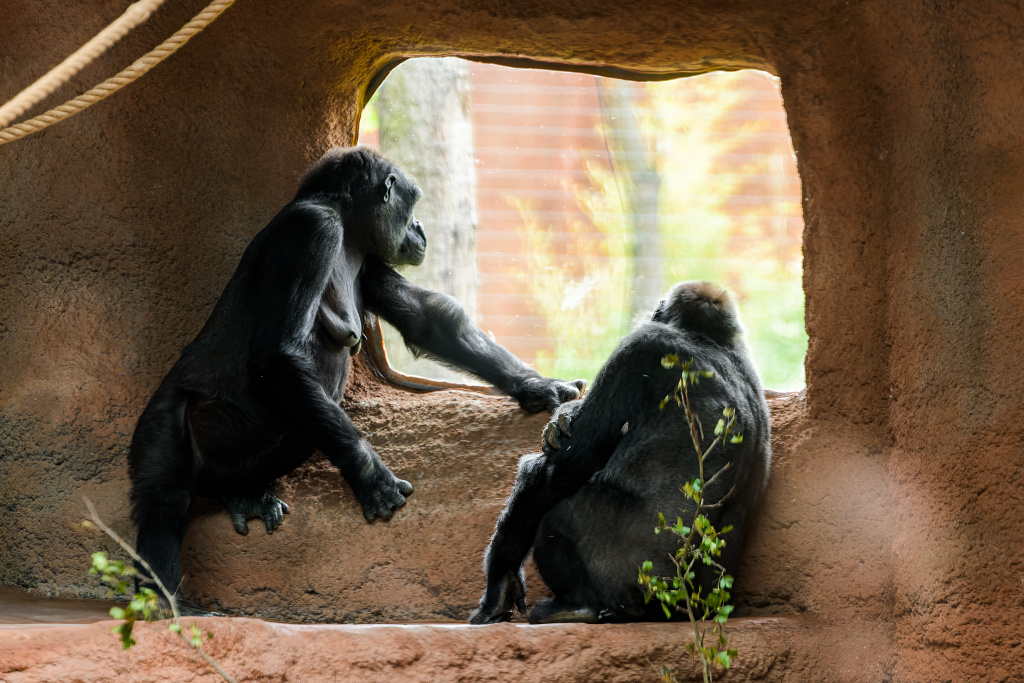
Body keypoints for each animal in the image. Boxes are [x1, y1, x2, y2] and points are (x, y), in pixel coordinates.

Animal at [129, 145, 589, 598]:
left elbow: (429, 320)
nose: (419, 227)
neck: (347, 230)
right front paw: (372, 478)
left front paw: (539, 386)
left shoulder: (370, 260)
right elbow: (280, 354)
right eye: (412, 205)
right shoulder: (312, 231)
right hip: (162, 424)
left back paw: (243, 493)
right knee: (165, 506)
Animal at [468, 282, 770, 626]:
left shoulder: (642, 348)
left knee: (558, 513)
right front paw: (563, 419)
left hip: (648, 587)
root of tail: (698, 607)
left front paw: (501, 576)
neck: (710, 340)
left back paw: (576, 605)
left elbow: (561, 470)